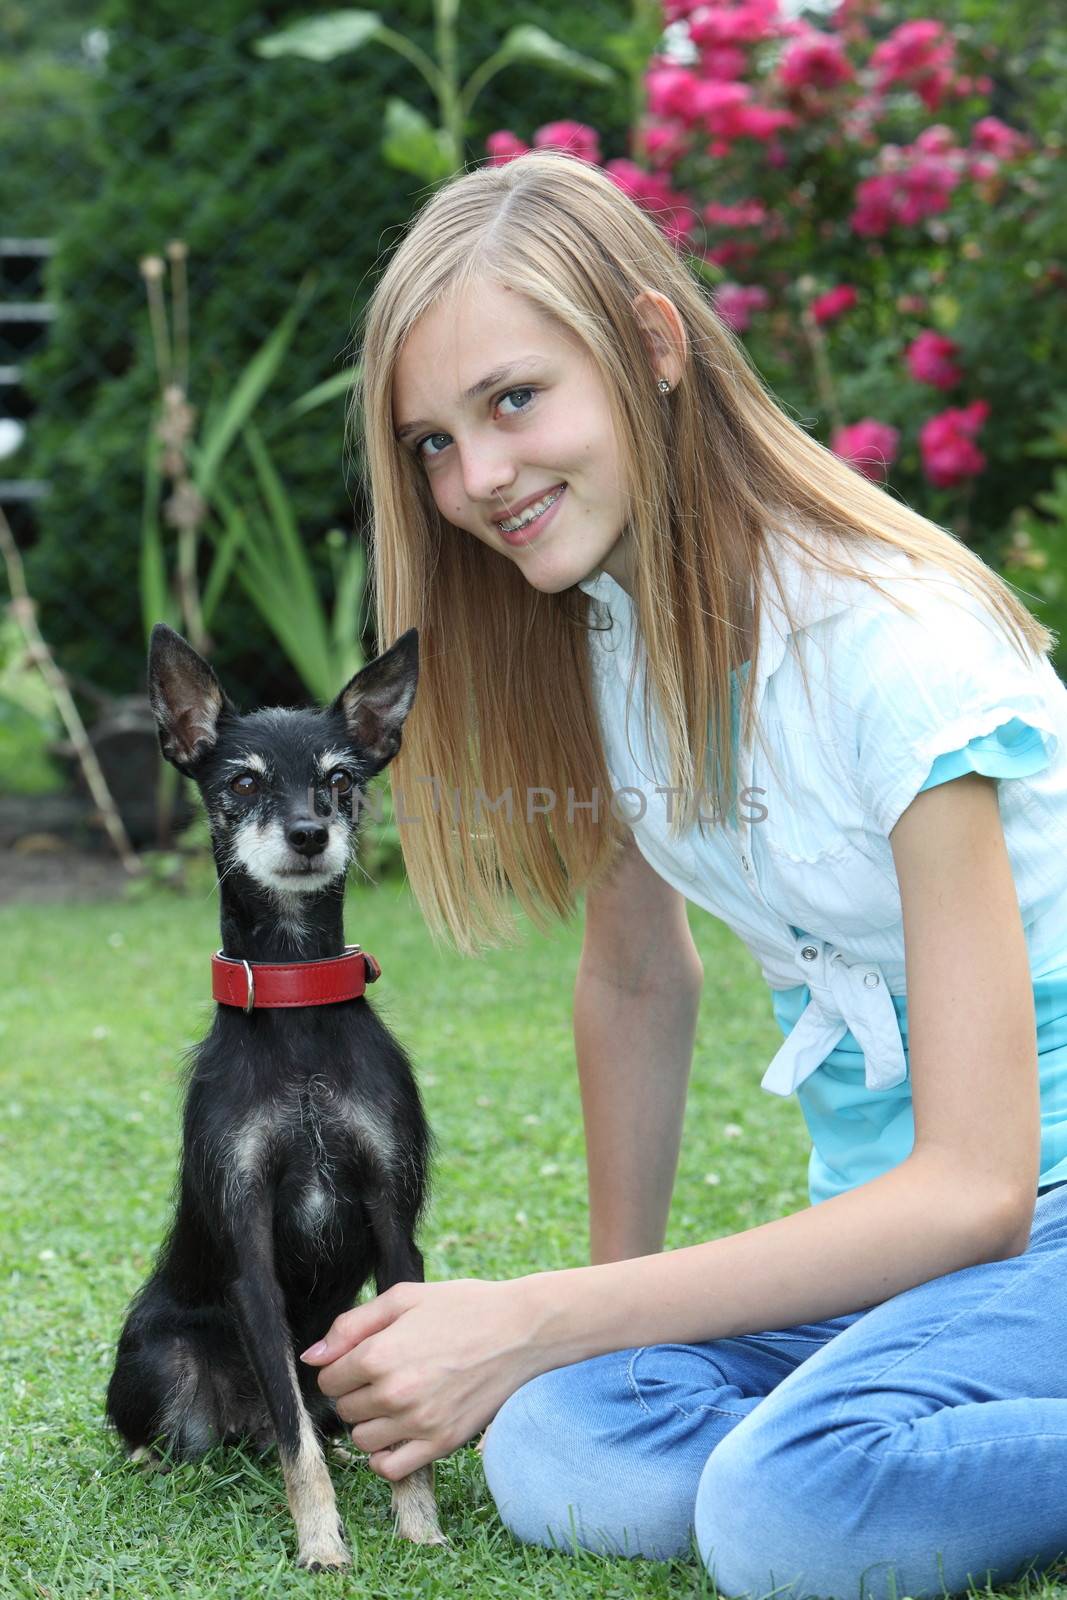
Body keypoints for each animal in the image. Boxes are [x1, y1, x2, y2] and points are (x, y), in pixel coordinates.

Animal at [106, 620, 444, 1561]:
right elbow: (298, 1444)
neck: (295, 1011)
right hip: (160, 1361)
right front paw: (322, 1542)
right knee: (219, 1432)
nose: (306, 834)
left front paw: (419, 1527)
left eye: (340, 780)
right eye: (243, 782)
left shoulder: (394, 1232)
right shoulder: (249, 1252)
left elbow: (394, 1426)